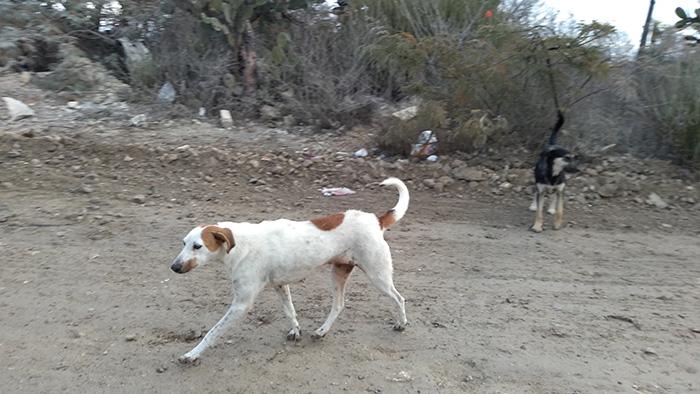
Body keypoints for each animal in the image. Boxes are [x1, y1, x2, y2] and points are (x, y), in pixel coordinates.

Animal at [171, 178, 410, 364]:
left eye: (197, 246)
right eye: (183, 243)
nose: (173, 267)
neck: (239, 244)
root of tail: (376, 220)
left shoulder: (241, 304)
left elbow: (212, 332)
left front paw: (192, 354)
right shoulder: (280, 285)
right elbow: (290, 310)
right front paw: (296, 330)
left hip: (378, 276)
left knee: (399, 298)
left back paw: (401, 323)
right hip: (339, 273)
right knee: (339, 305)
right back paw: (321, 331)